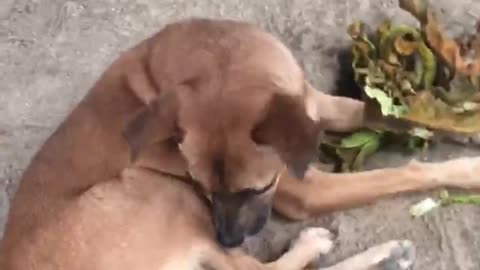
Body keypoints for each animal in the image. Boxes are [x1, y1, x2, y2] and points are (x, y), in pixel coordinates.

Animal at [0, 17, 480, 268]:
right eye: (204, 186)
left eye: (255, 189)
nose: (228, 239)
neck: (224, 58)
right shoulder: (304, 191)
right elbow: (402, 172)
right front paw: (467, 171)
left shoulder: (313, 100)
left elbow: (391, 115)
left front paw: (458, 122)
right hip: (156, 190)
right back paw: (356, 250)